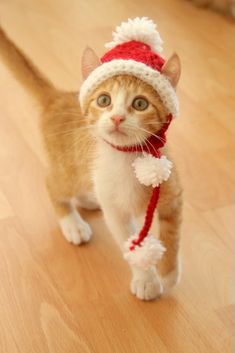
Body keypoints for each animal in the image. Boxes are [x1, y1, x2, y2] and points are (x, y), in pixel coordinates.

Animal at [0, 19, 184, 300]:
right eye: (104, 100)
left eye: (140, 104)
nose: (117, 118)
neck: (128, 158)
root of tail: (58, 98)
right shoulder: (116, 212)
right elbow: (131, 244)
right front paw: (147, 279)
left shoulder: (172, 193)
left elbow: (172, 233)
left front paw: (168, 271)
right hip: (68, 170)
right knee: (52, 184)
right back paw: (72, 223)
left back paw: (88, 200)